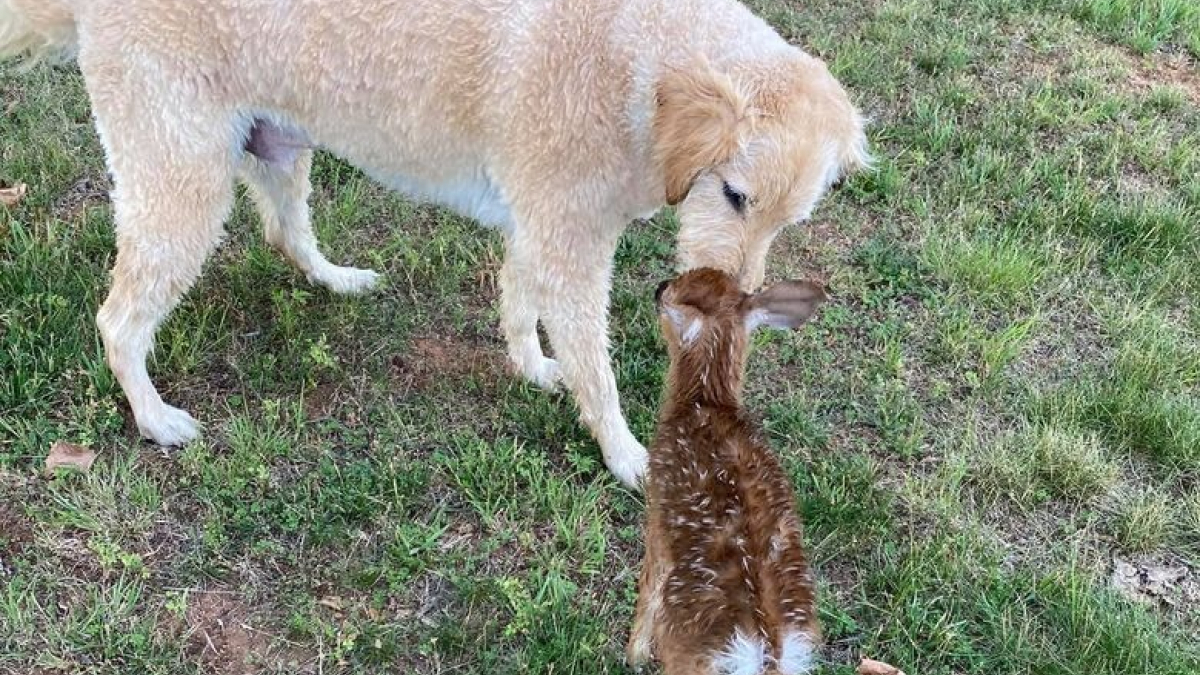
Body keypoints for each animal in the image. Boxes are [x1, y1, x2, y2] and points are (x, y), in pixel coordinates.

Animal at [0, 0, 864, 485]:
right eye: (734, 195)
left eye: (786, 222)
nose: (736, 307)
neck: (645, 63)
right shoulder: (570, 247)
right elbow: (599, 371)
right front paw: (625, 455)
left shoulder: (538, 230)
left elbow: (518, 304)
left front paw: (531, 368)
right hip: (182, 189)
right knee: (119, 322)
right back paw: (155, 419)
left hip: (275, 147)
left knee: (286, 233)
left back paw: (337, 278)